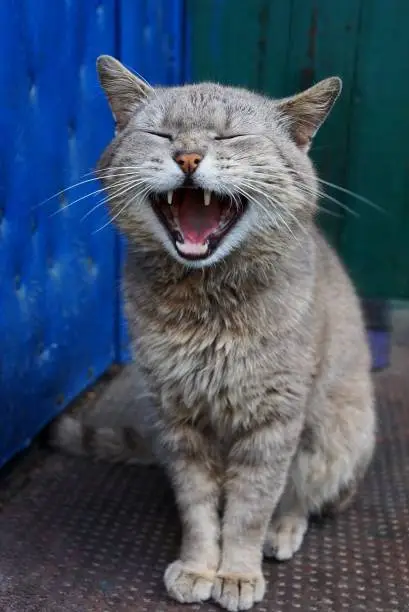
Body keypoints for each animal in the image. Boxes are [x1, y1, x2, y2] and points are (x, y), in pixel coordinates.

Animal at [55, 55, 374, 608]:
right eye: (160, 133)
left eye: (231, 136)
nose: (187, 156)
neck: (206, 303)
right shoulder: (177, 419)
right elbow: (199, 505)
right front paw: (200, 566)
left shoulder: (273, 420)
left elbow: (251, 508)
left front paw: (238, 572)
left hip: (336, 432)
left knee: (304, 497)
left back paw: (283, 529)